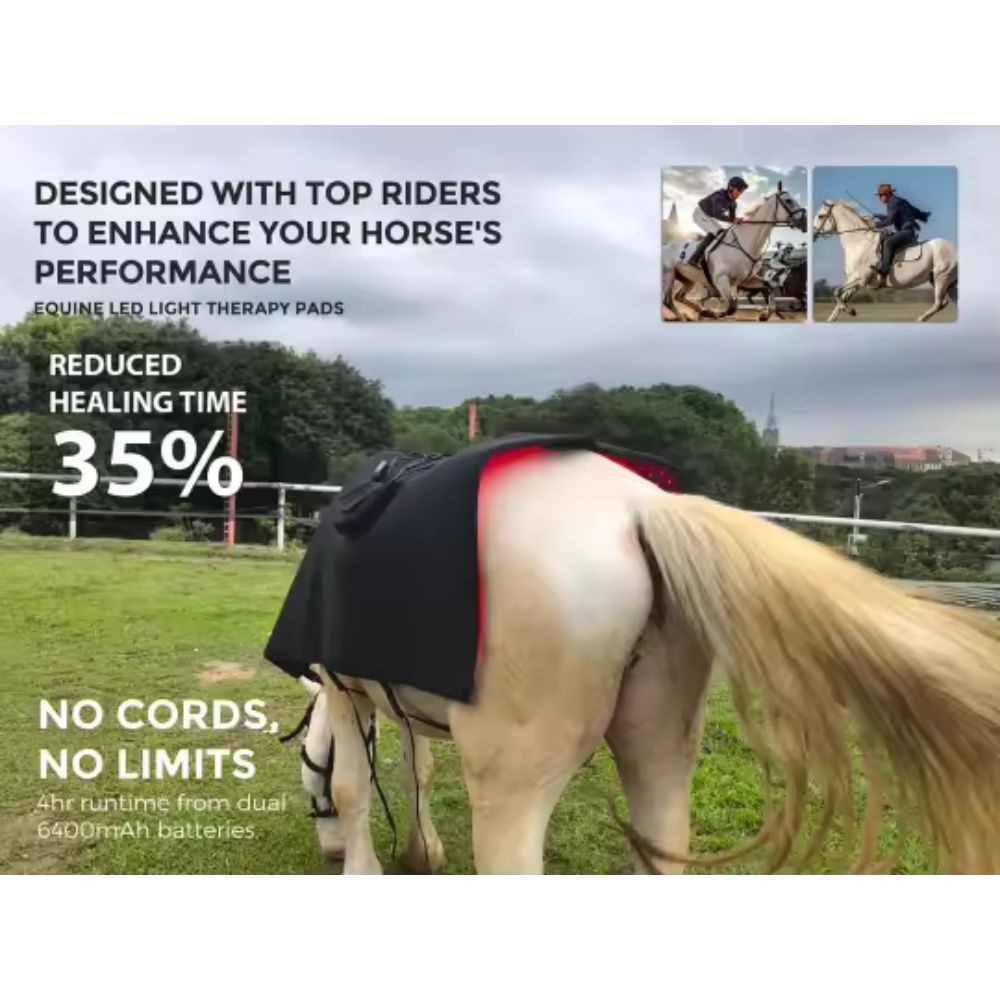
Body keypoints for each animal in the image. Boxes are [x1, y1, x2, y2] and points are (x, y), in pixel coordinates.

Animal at [293, 450, 998, 874]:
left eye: (309, 785)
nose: (325, 850)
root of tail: (640, 510)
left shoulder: (342, 691)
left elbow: (354, 787)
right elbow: (417, 769)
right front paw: (423, 852)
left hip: (512, 788)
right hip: (659, 751)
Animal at [663, 187, 807, 322]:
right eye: (788, 201)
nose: (805, 222)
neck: (746, 242)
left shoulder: (747, 280)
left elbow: (770, 287)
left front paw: (764, 315)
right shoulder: (721, 279)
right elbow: (732, 307)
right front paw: (711, 313)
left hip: (688, 279)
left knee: (678, 296)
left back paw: (696, 311)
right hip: (670, 274)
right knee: (667, 300)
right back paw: (686, 316)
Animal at [812, 200, 958, 322]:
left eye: (820, 216)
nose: (812, 235)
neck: (860, 242)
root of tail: (954, 247)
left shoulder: (861, 279)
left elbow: (836, 292)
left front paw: (851, 310)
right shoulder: (854, 281)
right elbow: (840, 300)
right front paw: (844, 311)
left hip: (941, 277)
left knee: (939, 303)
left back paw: (920, 319)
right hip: (945, 282)